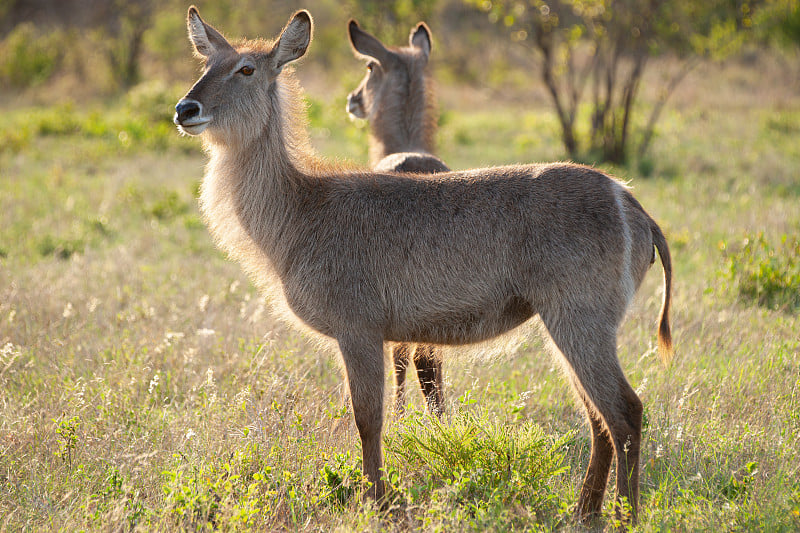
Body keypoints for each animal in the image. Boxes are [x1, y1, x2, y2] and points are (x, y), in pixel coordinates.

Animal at [175, 6, 676, 524]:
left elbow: (368, 418)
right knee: (599, 418)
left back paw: (625, 516)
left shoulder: (359, 330)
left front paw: (379, 502)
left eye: (246, 69)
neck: (301, 206)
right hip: (568, 325)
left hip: (580, 319)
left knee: (625, 411)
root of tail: (631, 203)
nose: (184, 109)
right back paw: (583, 512)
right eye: (205, 64)